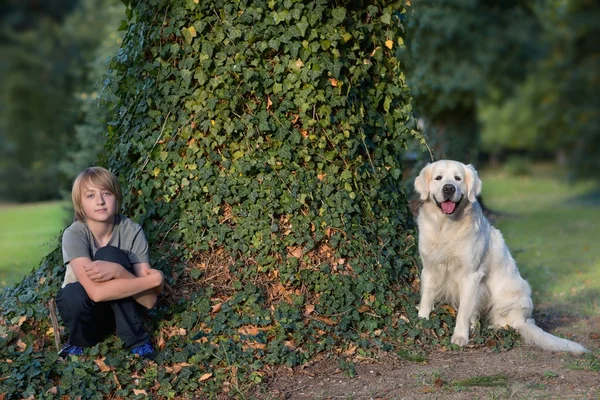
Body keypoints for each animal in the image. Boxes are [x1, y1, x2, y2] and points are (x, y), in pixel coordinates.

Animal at [414, 159, 588, 354]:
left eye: (458, 178)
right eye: (438, 178)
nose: (449, 188)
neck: (445, 227)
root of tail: (525, 318)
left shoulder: (470, 275)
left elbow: (464, 312)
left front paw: (460, 337)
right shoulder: (429, 268)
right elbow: (426, 297)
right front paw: (421, 321)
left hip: (509, 296)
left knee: (507, 323)